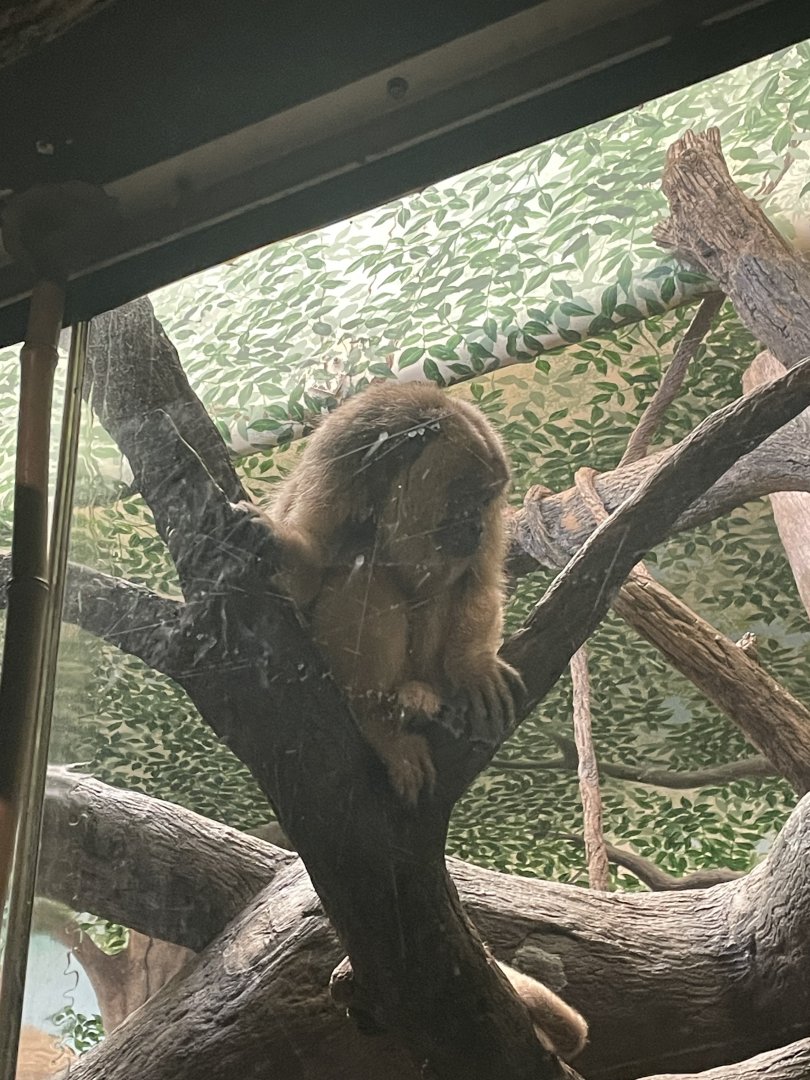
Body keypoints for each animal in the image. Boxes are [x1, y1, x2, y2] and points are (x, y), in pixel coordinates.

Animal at [260, 381, 525, 804]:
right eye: (464, 500)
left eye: (485, 500)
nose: (478, 528)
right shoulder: (341, 459)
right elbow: (307, 573)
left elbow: (482, 581)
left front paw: (473, 665)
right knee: (365, 572)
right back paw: (380, 725)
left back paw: (421, 697)